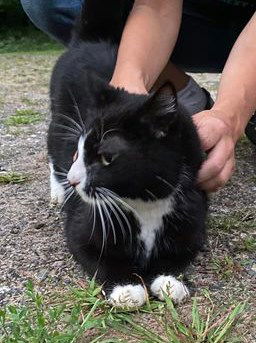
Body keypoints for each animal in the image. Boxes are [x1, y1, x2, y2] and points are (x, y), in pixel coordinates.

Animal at [48, 0, 207, 306]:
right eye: (77, 154)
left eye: (106, 158)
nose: (74, 181)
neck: (145, 205)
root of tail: (93, 40)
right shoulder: (84, 226)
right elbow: (94, 253)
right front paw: (127, 287)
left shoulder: (193, 211)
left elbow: (181, 253)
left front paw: (168, 280)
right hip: (57, 119)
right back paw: (58, 190)